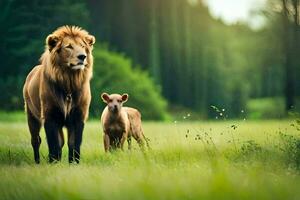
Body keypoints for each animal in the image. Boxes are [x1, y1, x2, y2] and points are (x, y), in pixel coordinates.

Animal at [23, 25, 95, 162]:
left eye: (82, 46)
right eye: (69, 46)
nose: (82, 56)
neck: (69, 80)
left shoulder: (79, 115)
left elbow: (74, 143)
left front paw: (74, 163)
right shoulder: (50, 115)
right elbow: (54, 143)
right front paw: (54, 162)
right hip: (31, 116)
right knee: (35, 141)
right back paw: (37, 162)